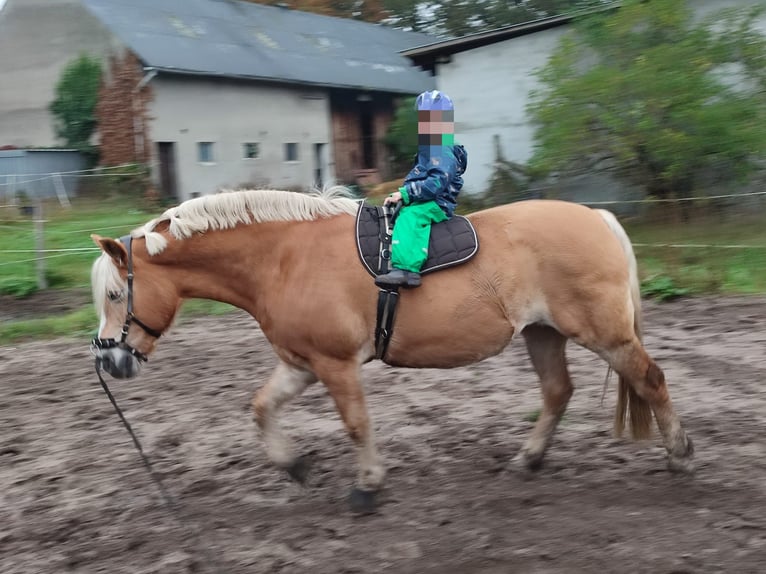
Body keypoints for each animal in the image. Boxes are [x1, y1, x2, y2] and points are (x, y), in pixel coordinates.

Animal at [88, 187, 696, 516]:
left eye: (116, 295)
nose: (110, 361)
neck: (282, 257)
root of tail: (598, 218)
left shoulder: (335, 364)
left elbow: (357, 424)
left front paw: (367, 486)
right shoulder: (302, 363)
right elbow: (261, 408)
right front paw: (295, 466)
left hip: (606, 335)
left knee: (652, 380)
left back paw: (679, 456)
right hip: (543, 333)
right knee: (558, 392)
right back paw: (528, 460)